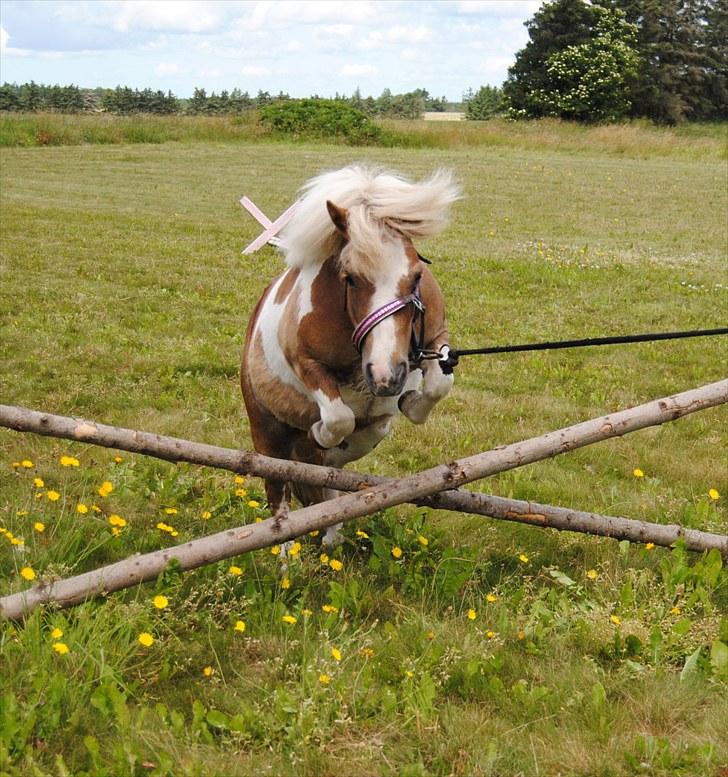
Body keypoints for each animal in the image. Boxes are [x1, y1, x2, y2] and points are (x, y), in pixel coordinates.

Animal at [245, 164, 460, 544]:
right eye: (351, 278)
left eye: (416, 276)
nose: (387, 377)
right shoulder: (305, 363)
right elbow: (337, 417)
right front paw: (318, 432)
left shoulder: (435, 338)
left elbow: (437, 386)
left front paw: (411, 403)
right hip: (267, 437)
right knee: (280, 501)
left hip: (371, 432)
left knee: (332, 476)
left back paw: (331, 537)